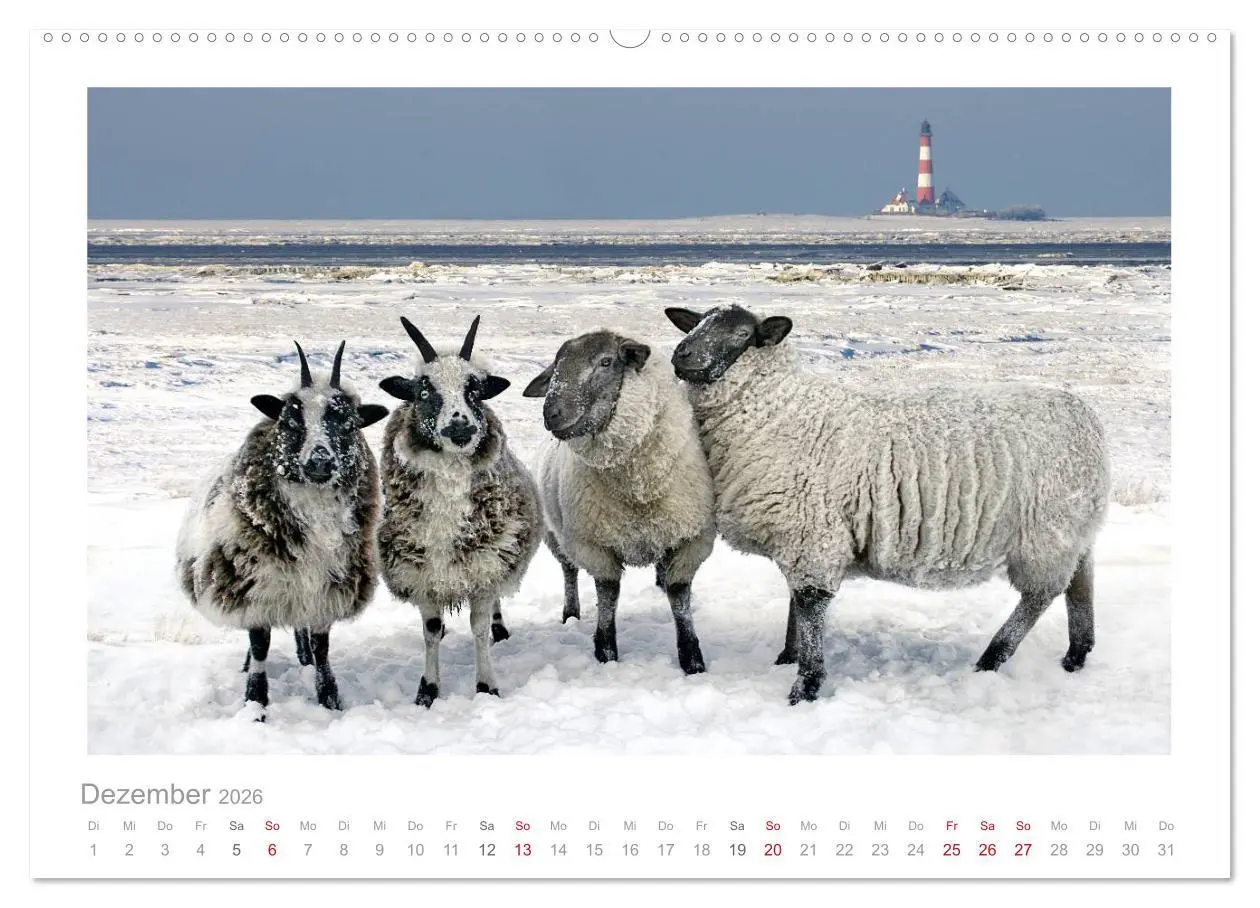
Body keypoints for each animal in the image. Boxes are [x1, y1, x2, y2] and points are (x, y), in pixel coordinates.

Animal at [176, 341, 389, 715]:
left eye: (349, 425)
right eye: (290, 421)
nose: (320, 461)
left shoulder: (327, 589)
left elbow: (321, 647)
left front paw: (329, 698)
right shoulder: (256, 585)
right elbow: (260, 643)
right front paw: (256, 702)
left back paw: (303, 656)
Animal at [377, 315, 542, 707]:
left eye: (475, 391)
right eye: (423, 392)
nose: (461, 426)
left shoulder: (485, 565)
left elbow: (479, 628)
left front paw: (486, 685)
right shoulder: (421, 574)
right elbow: (431, 630)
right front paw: (428, 689)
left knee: (494, 609)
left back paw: (500, 629)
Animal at [522, 330, 716, 674]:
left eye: (606, 362)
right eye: (556, 366)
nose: (551, 413)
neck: (637, 489)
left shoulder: (690, 538)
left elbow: (679, 595)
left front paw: (692, 659)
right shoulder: (594, 544)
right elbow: (608, 594)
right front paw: (606, 652)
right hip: (557, 536)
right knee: (569, 571)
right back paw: (570, 613)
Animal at [665, 304, 1110, 704]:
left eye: (742, 335)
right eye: (696, 323)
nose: (680, 355)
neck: (782, 410)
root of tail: (1087, 418)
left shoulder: (813, 532)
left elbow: (809, 606)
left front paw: (805, 686)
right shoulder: (803, 535)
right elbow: (796, 604)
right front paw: (788, 657)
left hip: (1044, 535)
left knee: (1040, 597)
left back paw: (992, 658)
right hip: (1074, 530)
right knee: (1080, 587)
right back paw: (1076, 656)